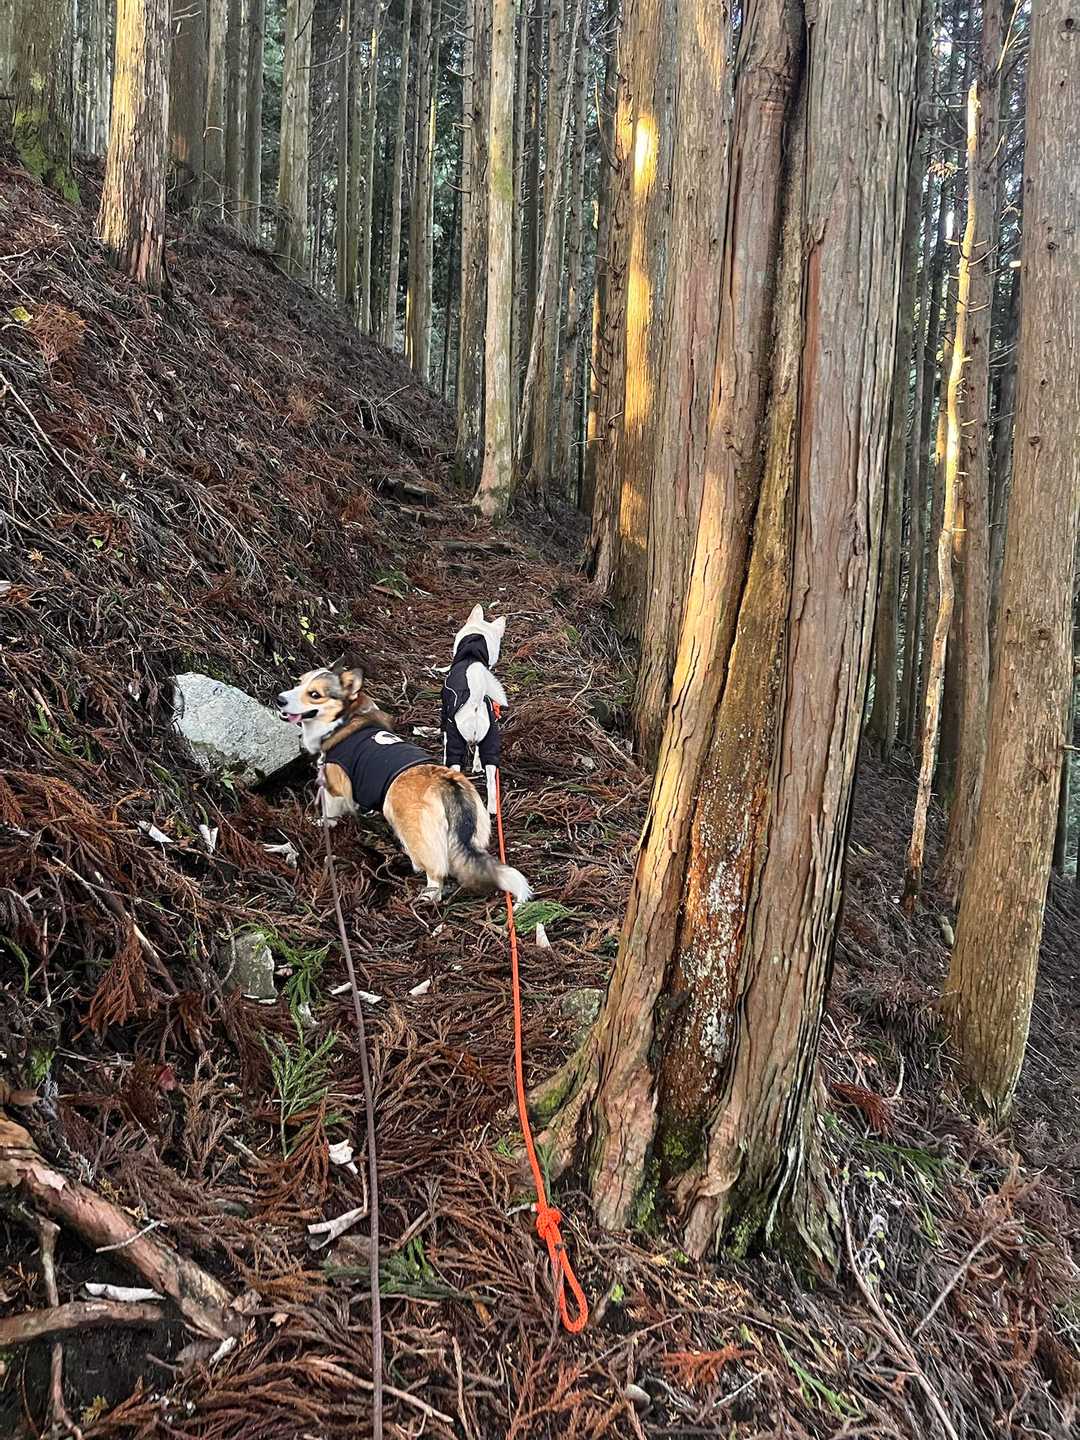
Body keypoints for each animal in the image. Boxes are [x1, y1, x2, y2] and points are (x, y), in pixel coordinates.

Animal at [276, 665, 531, 904]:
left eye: (315, 694)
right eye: (299, 682)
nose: (279, 699)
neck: (344, 719)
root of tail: (446, 783)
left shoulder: (334, 788)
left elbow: (329, 811)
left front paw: (321, 823)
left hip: (403, 819)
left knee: (435, 872)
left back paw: (427, 894)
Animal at [441, 604, 508, 813]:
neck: (471, 655)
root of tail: (476, 702)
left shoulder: (445, 716)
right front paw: (477, 765)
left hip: (456, 737)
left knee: (454, 764)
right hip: (490, 740)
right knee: (491, 782)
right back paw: (492, 809)